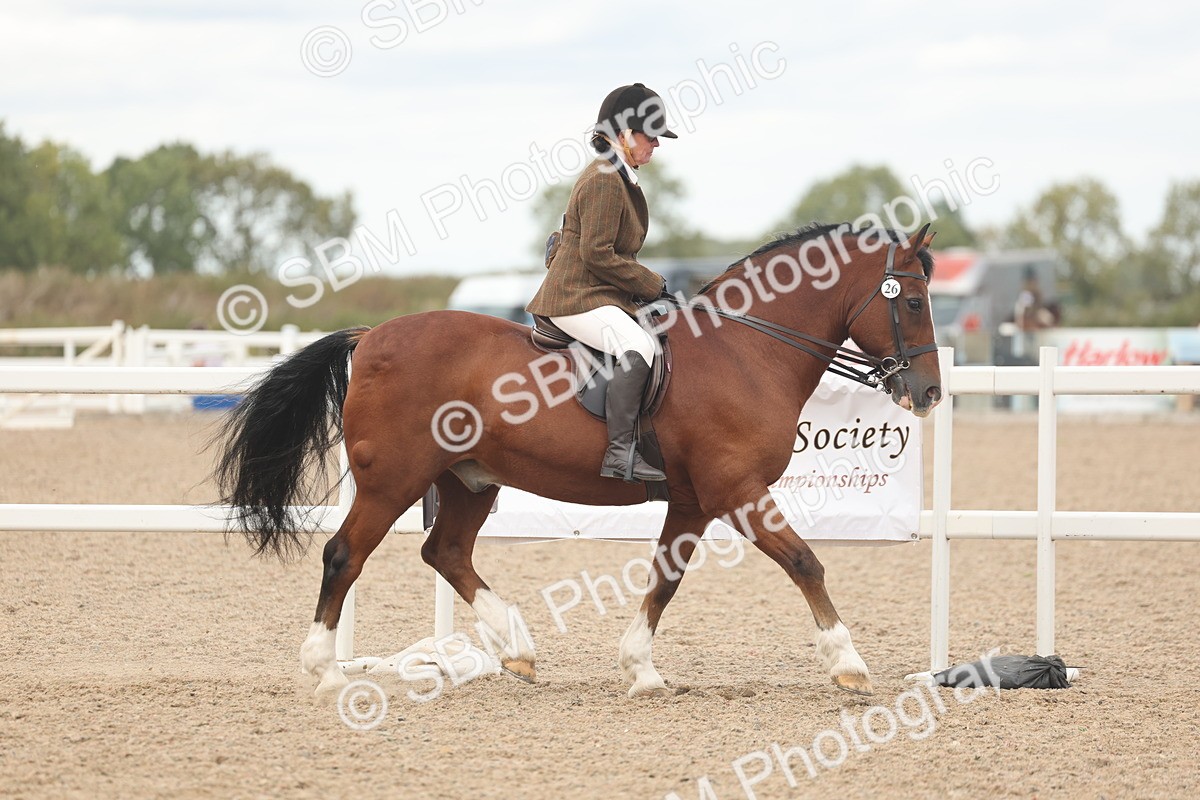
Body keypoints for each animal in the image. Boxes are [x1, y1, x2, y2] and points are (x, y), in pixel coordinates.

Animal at [215, 221, 942, 699]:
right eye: (911, 301)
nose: (929, 393)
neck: (745, 351)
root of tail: (371, 337)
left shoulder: (693, 499)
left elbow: (665, 580)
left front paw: (641, 669)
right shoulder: (736, 489)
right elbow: (804, 561)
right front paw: (848, 664)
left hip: (470, 481)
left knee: (444, 552)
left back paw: (517, 649)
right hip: (393, 480)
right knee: (345, 556)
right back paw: (325, 670)